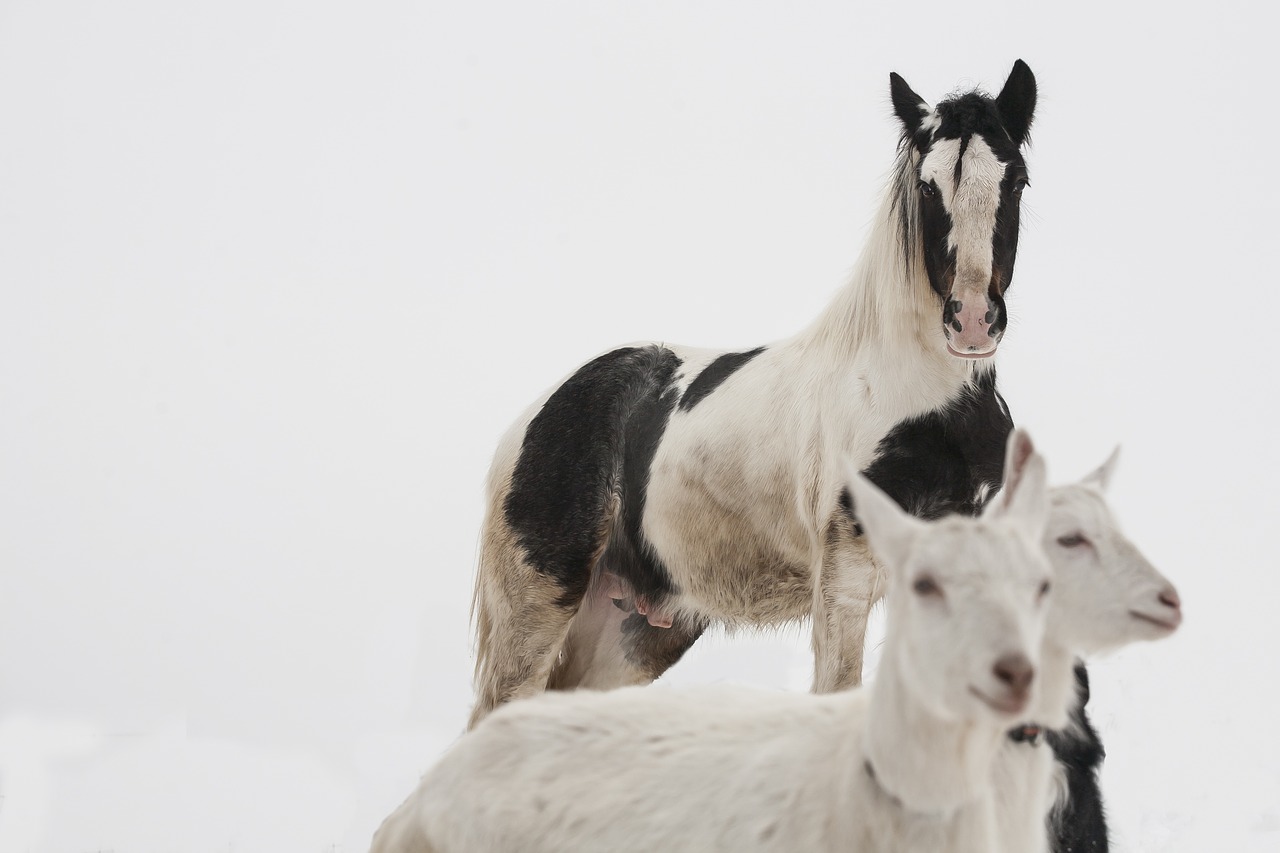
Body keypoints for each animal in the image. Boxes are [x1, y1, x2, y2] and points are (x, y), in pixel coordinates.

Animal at [471, 61, 1039, 722]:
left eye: (1016, 180)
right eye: (928, 188)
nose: (972, 321)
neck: (923, 403)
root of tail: (536, 415)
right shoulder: (845, 586)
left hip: (630, 635)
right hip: (539, 608)